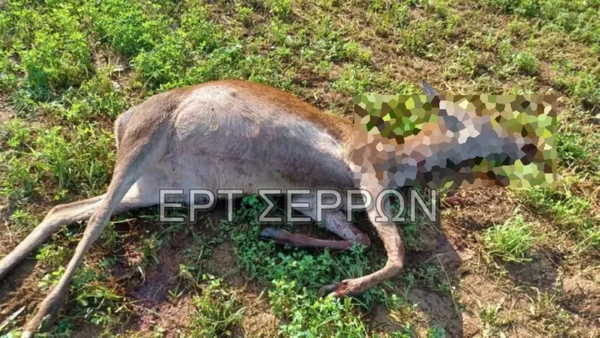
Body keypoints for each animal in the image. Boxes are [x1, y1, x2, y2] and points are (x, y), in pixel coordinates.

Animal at [1, 80, 536, 336]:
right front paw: (341, 289)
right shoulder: (367, 183)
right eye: (487, 118)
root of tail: (124, 117)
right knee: (92, 221)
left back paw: (11, 278)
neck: (396, 158)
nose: (526, 146)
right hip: (141, 149)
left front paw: (281, 238)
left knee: (66, 210)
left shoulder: (314, 201)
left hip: (164, 190)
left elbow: (357, 239)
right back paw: (37, 317)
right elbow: (397, 252)